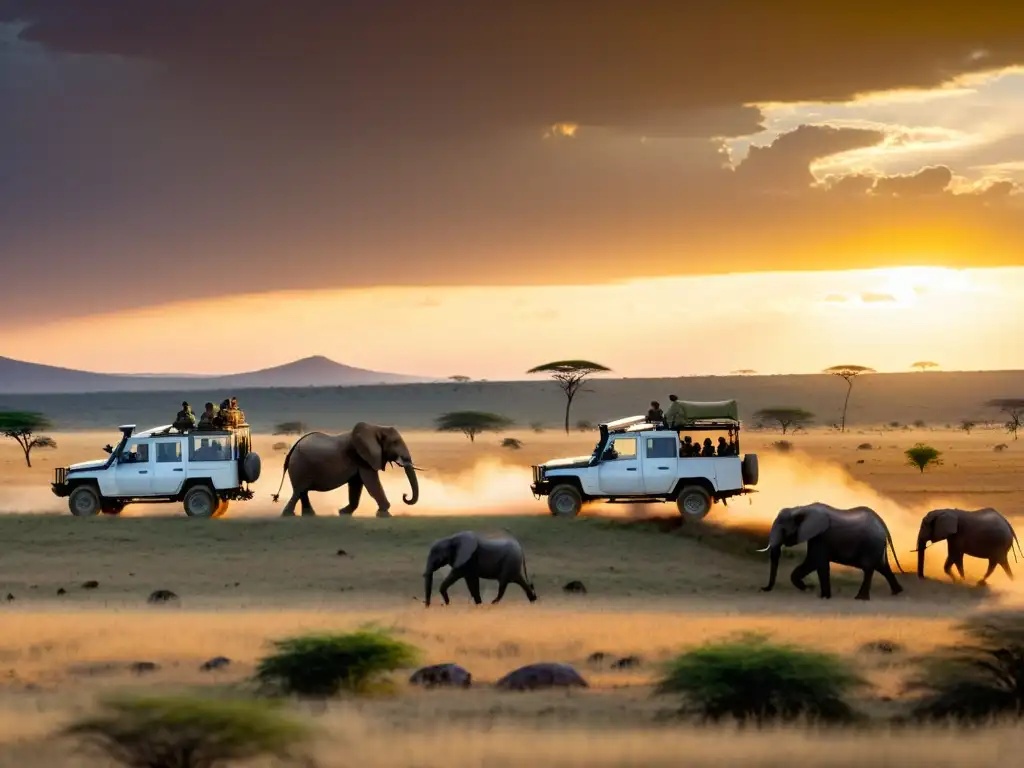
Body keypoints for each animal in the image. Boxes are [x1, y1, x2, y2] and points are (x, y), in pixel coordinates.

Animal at [270, 423, 421, 520]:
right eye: (395, 442)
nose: (404, 495)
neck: (376, 428)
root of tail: (293, 447)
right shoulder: (362, 457)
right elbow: (371, 483)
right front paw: (385, 514)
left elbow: (356, 485)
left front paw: (343, 512)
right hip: (300, 466)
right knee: (299, 490)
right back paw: (289, 515)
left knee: (302, 492)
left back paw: (309, 515)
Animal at [757, 501, 901, 606]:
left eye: (783, 530)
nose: (763, 589)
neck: (802, 508)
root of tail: (883, 525)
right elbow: (814, 563)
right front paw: (810, 589)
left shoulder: (821, 537)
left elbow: (816, 562)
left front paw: (821, 595)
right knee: (883, 567)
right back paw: (897, 592)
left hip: (871, 545)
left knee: (869, 569)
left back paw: (860, 598)